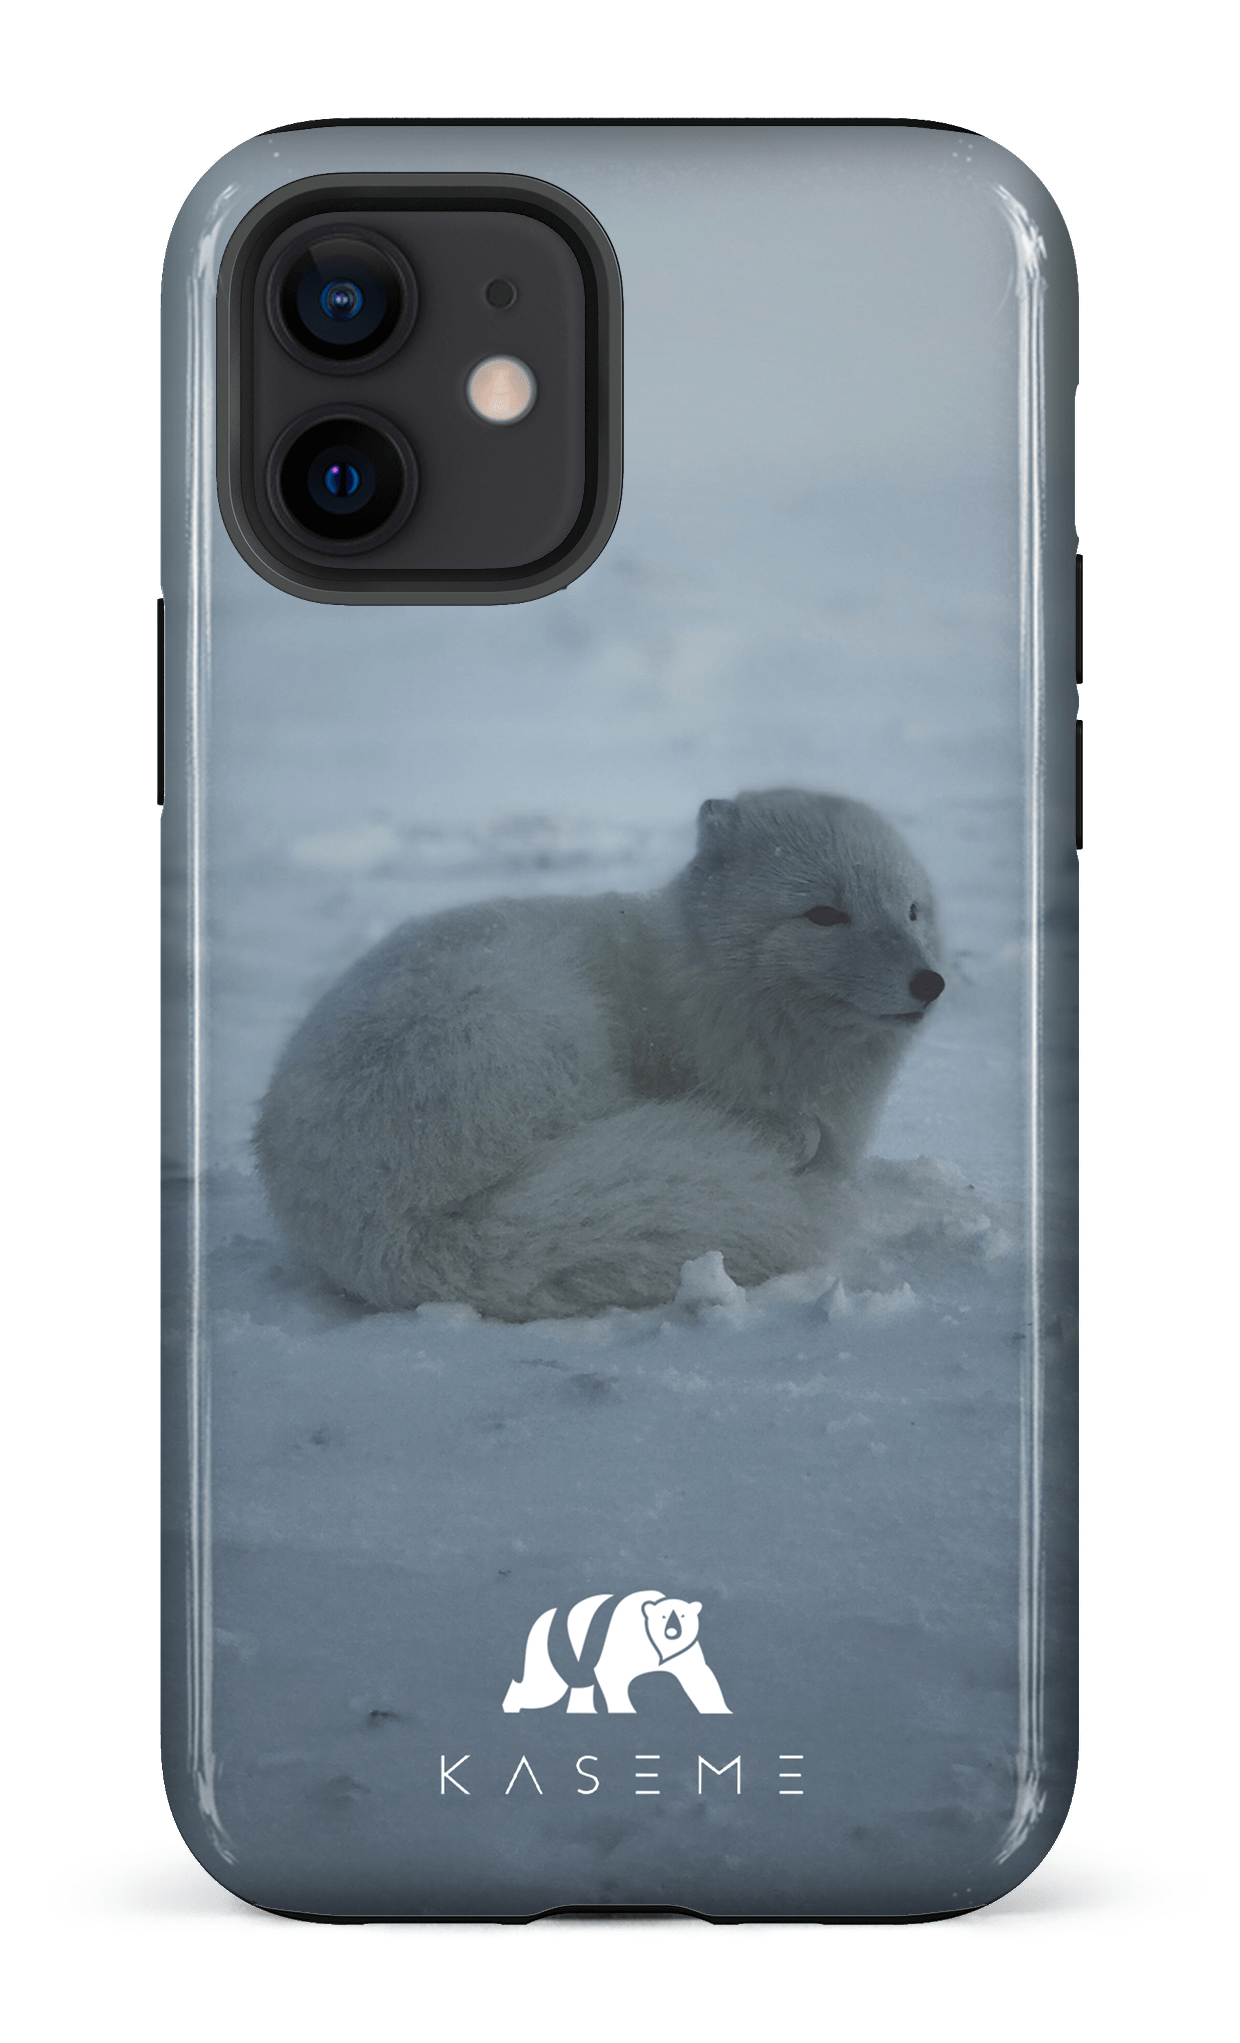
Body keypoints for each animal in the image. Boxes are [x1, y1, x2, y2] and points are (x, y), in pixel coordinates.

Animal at [255, 789, 945, 1320]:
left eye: (911, 910)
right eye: (824, 914)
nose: (930, 982)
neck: (703, 985)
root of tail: (394, 1230)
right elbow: (798, 1131)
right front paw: (790, 1138)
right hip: (533, 1029)